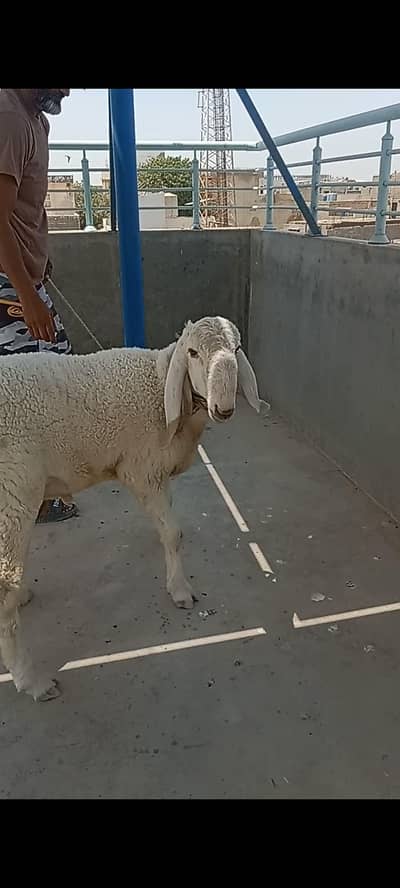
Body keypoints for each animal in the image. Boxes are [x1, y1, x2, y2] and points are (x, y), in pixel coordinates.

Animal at [0, 315, 268, 702]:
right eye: (192, 353)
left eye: (236, 349)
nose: (224, 409)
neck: (159, 385)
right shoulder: (142, 470)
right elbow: (173, 533)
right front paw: (180, 589)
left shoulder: (155, 472)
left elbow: (166, 524)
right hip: (13, 493)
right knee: (4, 588)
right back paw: (31, 679)